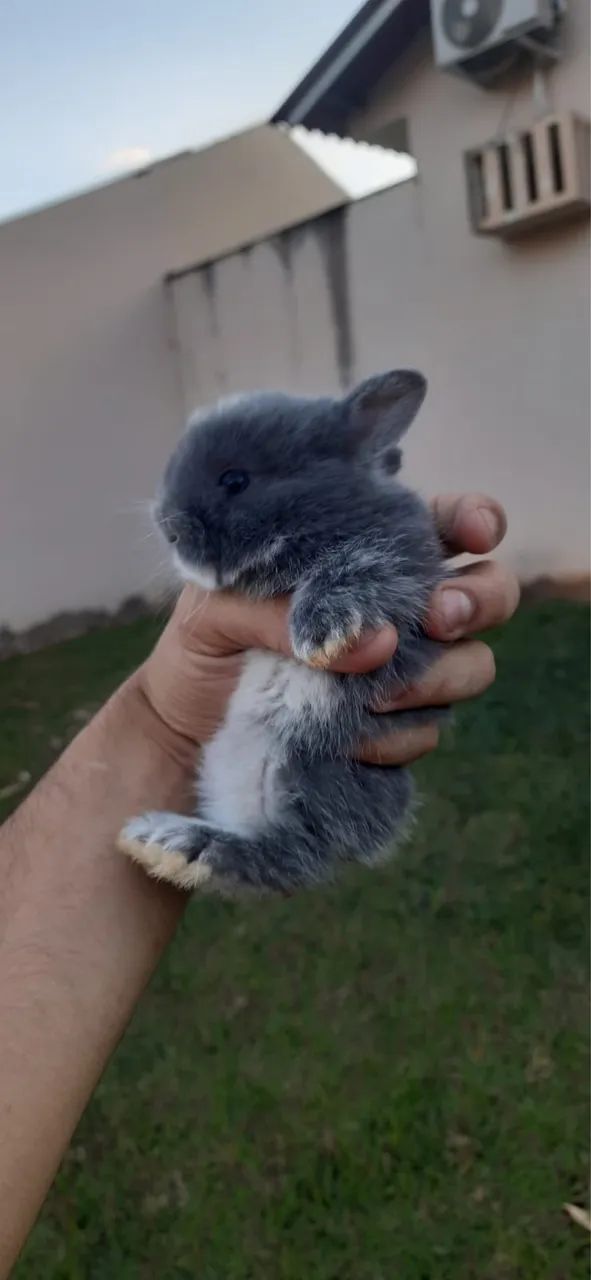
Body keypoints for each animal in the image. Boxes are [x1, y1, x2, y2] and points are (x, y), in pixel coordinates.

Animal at [118, 370, 447, 897]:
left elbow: (356, 569)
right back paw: (166, 843)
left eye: (235, 480)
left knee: (289, 856)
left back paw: (183, 846)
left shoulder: (398, 560)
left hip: (305, 767)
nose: (169, 529)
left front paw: (320, 634)